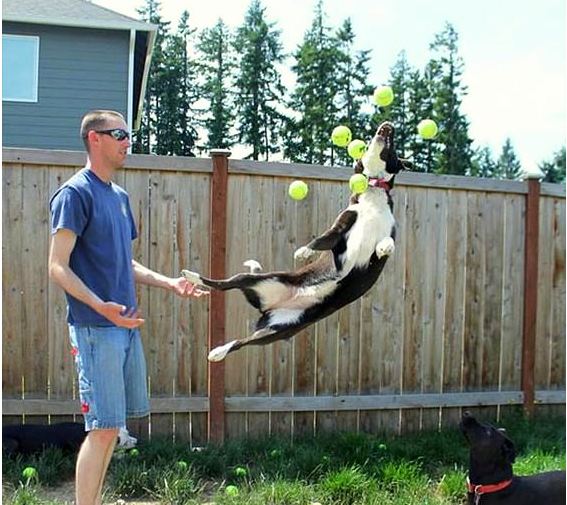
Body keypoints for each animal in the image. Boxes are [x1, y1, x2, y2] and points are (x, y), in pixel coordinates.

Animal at [184, 121, 410, 362]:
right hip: (265, 282)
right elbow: (322, 239)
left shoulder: (388, 233)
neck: (374, 192)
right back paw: (193, 278)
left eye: (393, 146)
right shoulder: (341, 227)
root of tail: (270, 307)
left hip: (277, 331)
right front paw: (304, 252)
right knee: (224, 284)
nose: (387, 126)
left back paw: (218, 351)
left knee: (241, 342)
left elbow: (388, 243)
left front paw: (384, 247)